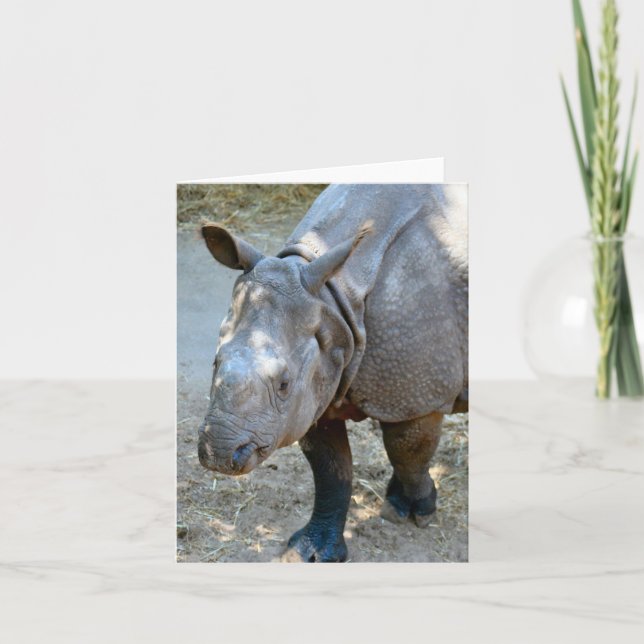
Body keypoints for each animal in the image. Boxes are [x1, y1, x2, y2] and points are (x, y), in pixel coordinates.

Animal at [197, 183, 468, 562]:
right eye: (214, 363)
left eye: (283, 384)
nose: (219, 455)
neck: (333, 299)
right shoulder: (316, 387)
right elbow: (330, 469)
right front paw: (311, 552)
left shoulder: (417, 394)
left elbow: (407, 450)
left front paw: (413, 512)